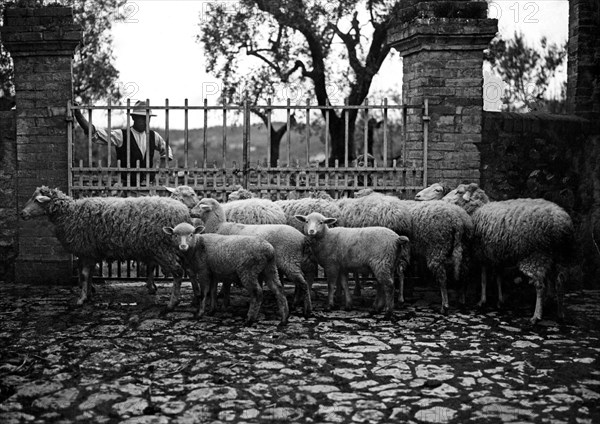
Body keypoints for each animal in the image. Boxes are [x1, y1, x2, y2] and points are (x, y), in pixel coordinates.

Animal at [20, 186, 190, 308]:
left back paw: (173, 302)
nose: (22, 214)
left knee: (178, 272)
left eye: (36, 200)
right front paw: (88, 293)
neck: (70, 213)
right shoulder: (89, 252)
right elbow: (87, 275)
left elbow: (84, 275)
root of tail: (183, 211)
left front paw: (82, 299)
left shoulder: (86, 251)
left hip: (163, 248)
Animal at [442, 181, 576, 322]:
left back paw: (536, 315)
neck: (478, 210)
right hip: (558, 256)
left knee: (540, 285)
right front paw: (500, 301)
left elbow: (483, 279)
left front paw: (482, 301)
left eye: (459, 192)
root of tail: (563, 223)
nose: (443, 200)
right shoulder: (496, 256)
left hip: (536, 256)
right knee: (559, 281)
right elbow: (498, 278)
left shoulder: (483, 255)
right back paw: (559, 312)